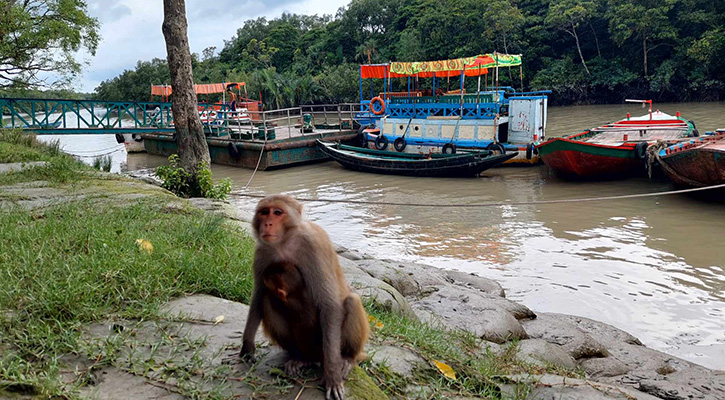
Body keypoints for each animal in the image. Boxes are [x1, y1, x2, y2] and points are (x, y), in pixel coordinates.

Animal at [240, 195, 370, 400]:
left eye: (277, 212)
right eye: (264, 212)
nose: (267, 223)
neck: (285, 242)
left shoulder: (314, 247)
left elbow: (329, 304)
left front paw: (332, 375)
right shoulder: (262, 251)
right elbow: (259, 295)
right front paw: (247, 346)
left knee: (352, 301)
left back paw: (346, 359)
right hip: (305, 346)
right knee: (267, 300)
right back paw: (301, 359)